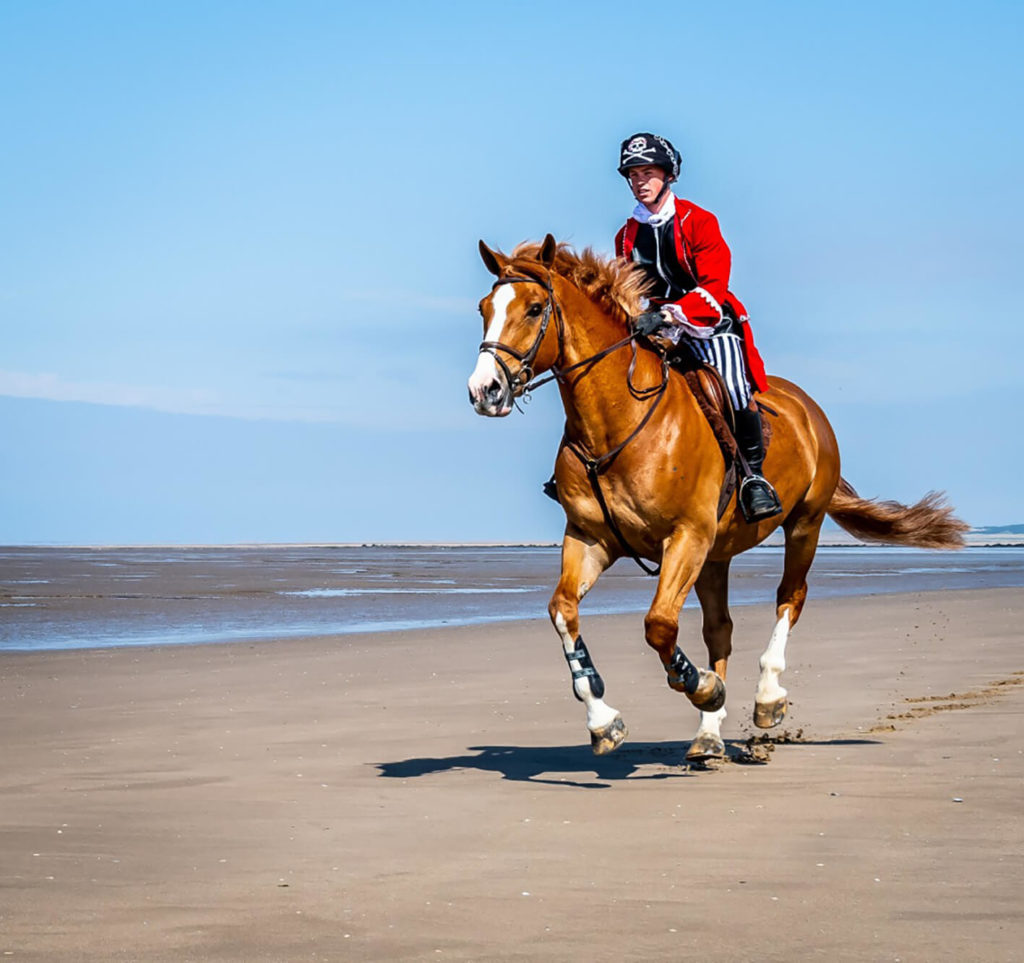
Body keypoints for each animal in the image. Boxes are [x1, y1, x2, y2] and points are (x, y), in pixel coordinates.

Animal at [468, 233, 962, 758]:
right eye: (484, 308)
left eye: (534, 308)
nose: (484, 390)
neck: (617, 422)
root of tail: (807, 407)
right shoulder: (590, 538)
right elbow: (564, 611)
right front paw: (605, 721)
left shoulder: (686, 536)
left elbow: (659, 624)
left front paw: (700, 685)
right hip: (716, 555)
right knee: (720, 628)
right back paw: (707, 736)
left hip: (803, 524)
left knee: (790, 598)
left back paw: (767, 698)